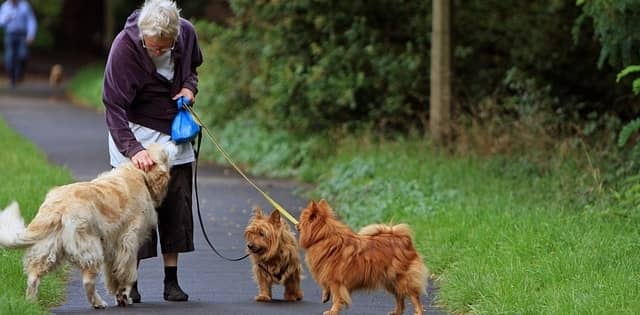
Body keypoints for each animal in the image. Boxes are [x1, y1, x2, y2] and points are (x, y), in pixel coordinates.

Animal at [0, 143, 175, 308]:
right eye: (165, 152)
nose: (173, 142)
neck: (137, 173)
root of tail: (57, 207)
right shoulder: (128, 241)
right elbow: (128, 273)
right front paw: (124, 295)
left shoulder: (112, 246)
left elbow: (112, 274)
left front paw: (118, 294)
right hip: (91, 249)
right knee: (87, 282)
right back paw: (98, 303)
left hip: (48, 249)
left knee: (33, 277)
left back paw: (31, 303)